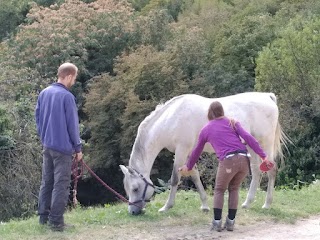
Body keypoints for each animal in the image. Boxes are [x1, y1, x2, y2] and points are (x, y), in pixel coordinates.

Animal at [119, 93, 286, 215]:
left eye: (135, 188)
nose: (133, 212)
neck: (171, 120)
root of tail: (267, 97)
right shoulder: (188, 152)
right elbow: (194, 175)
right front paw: (205, 205)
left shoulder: (181, 150)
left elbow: (175, 178)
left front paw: (167, 207)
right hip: (252, 145)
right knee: (257, 172)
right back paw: (247, 203)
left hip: (265, 143)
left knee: (271, 170)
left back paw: (267, 204)